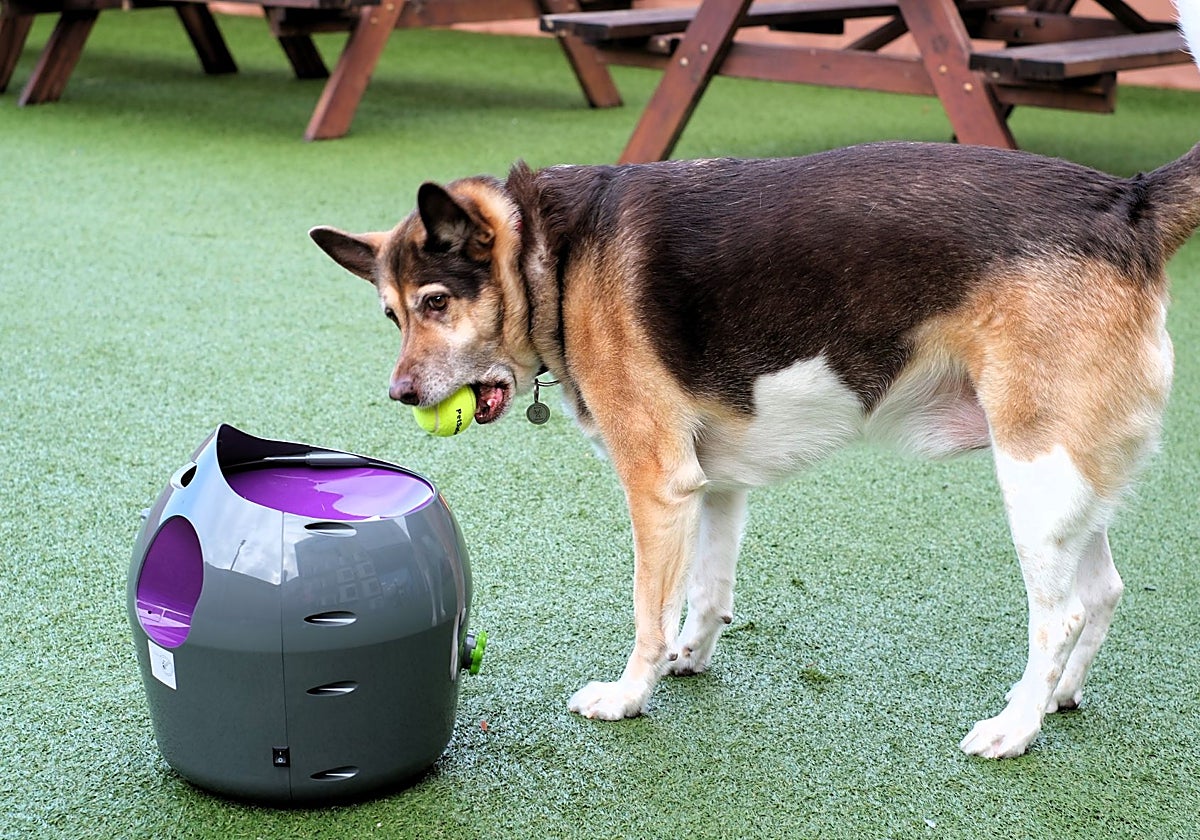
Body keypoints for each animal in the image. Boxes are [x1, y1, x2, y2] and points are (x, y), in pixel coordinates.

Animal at [311, 127, 1199, 758]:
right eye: (392, 314)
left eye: (435, 302)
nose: (400, 395)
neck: (553, 255)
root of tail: (1125, 199)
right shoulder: (711, 482)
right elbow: (705, 592)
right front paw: (689, 658)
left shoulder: (657, 483)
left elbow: (647, 611)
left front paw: (629, 696)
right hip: (1067, 483)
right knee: (1101, 593)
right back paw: (1058, 700)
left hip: (1032, 476)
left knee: (1059, 616)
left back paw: (1016, 728)